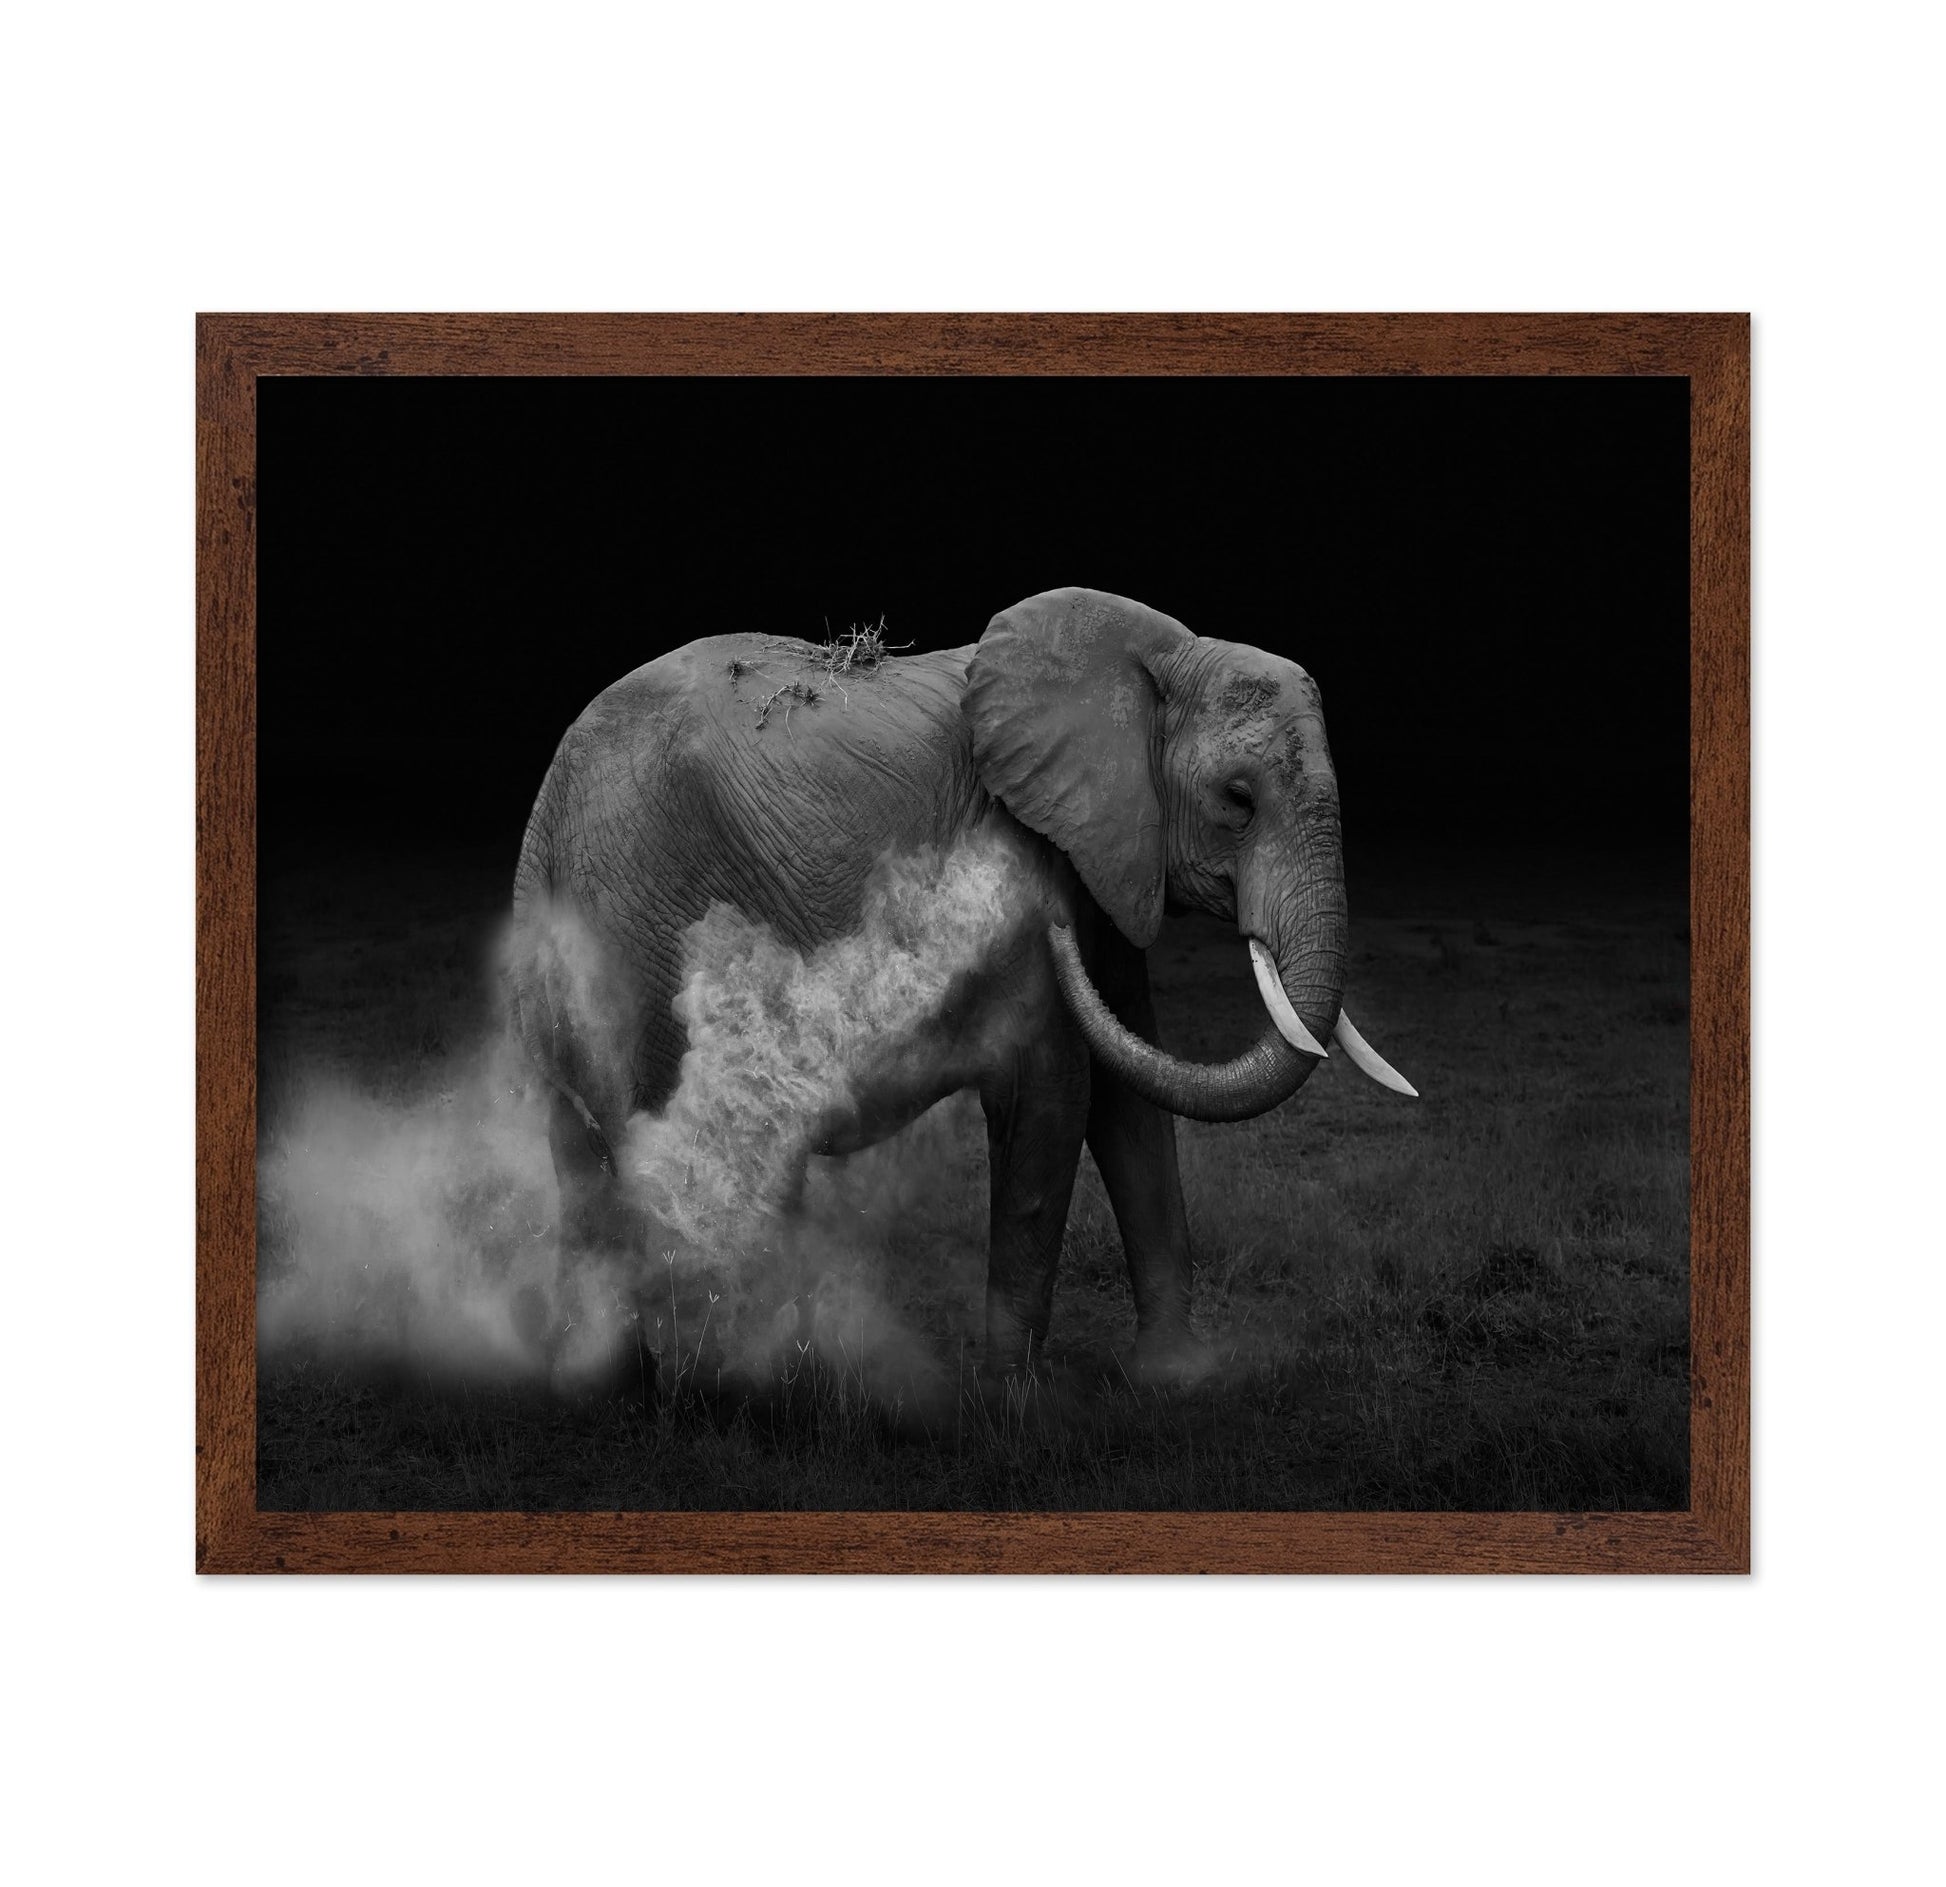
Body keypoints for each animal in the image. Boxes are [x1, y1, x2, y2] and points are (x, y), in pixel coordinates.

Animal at [507, 586, 1413, 1381]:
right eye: (1238, 800)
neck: (1159, 655)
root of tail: (552, 789)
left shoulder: (1108, 856)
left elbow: (1130, 1101)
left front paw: (1175, 1379)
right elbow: (1053, 1090)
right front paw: (1012, 1400)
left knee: (588, 1154)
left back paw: (625, 1384)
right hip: (641, 925)